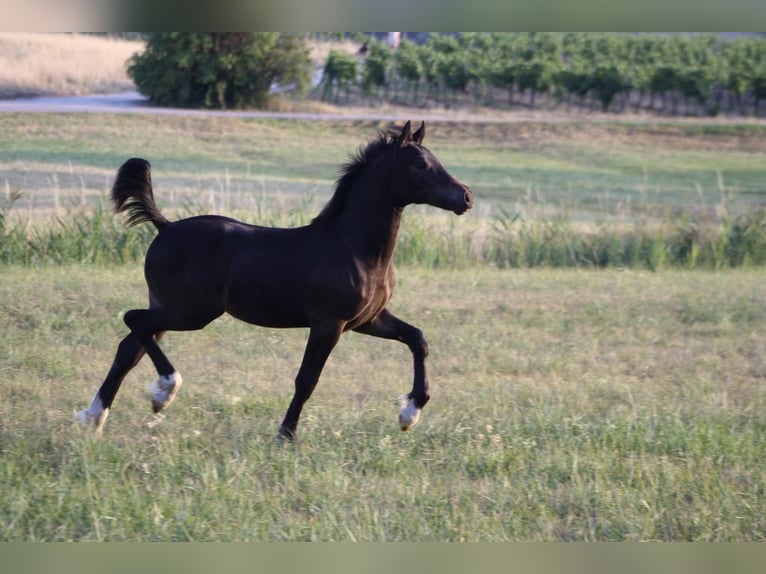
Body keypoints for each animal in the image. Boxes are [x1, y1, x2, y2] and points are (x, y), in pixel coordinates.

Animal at [76, 121, 474, 440]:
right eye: (421, 164)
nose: (466, 197)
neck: (355, 248)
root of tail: (165, 225)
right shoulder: (329, 323)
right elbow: (307, 379)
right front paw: (286, 434)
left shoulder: (367, 320)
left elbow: (418, 339)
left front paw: (410, 413)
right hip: (189, 313)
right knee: (132, 320)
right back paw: (164, 390)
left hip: (170, 309)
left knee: (130, 346)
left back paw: (97, 417)